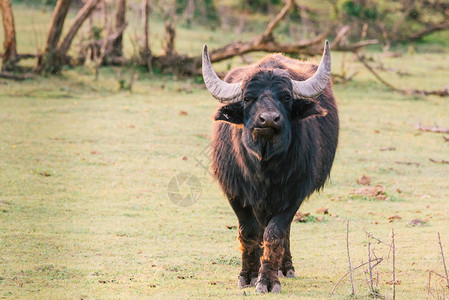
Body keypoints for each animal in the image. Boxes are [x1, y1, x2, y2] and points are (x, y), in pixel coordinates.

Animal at [201, 41, 338, 292]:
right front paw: (248, 275)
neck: (264, 167)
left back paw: (285, 267)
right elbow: (249, 231)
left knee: (283, 231)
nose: (268, 119)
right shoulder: (235, 192)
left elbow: (275, 233)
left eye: (285, 97)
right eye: (248, 98)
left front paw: (268, 279)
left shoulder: (294, 194)